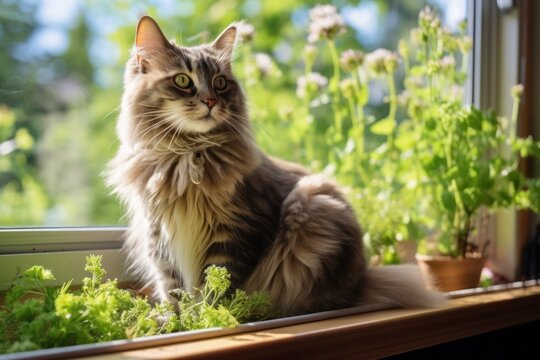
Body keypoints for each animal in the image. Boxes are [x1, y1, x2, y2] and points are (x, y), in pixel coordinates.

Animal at [107, 15, 446, 316]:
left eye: (220, 82)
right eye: (182, 80)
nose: (211, 101)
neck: (188, 154)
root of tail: (362, 279)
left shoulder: (236, 233)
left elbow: (217, 286)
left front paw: (207, 318)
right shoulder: (158, 236)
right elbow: (173, 289)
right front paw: (177, 322)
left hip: (313, 207)